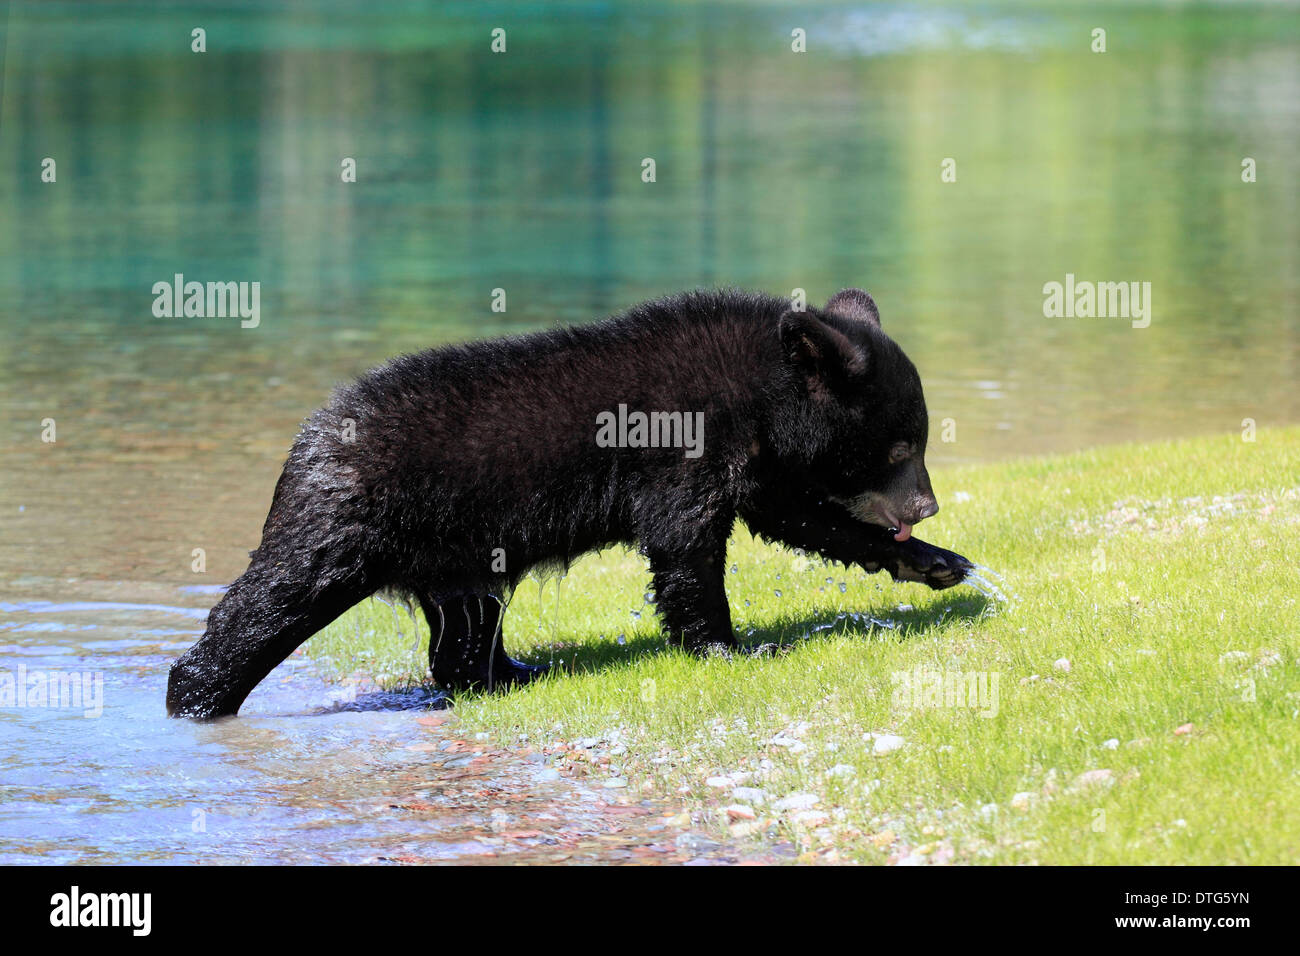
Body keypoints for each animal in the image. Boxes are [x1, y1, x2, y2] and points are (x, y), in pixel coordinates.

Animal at [166, 288, 972, 719]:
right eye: (901, 447)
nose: (927, 507)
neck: (760, 393)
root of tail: (307, 438)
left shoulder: (760, 464)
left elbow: (802, 518)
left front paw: (937, 564)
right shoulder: (683, 447)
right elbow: (685, 548)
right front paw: (729, 645)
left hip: (459, 553)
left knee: (465, 628)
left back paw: (510, 672)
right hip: (340, 524)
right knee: (269, 600)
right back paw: (194, 695)